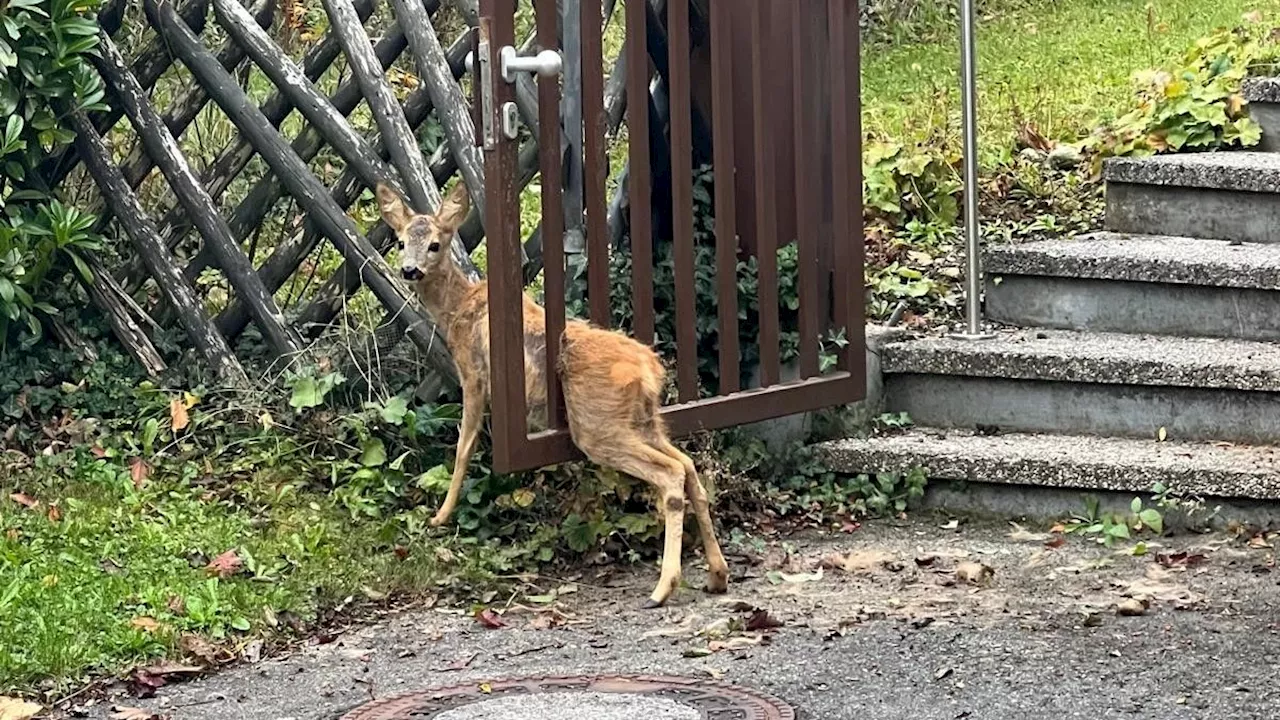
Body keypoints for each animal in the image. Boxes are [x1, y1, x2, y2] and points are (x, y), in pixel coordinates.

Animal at [373, 180, 727, 604]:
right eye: (400, 241)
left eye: (435, 245)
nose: (409, 270)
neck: (458, 309)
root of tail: (649, 369)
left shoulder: (474, 374)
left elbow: (464, 445)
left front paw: (440, 516)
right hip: (643, 420)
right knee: (688, 466)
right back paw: (717, 574)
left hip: (597, 426)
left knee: (671, 474)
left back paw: (663, 587)